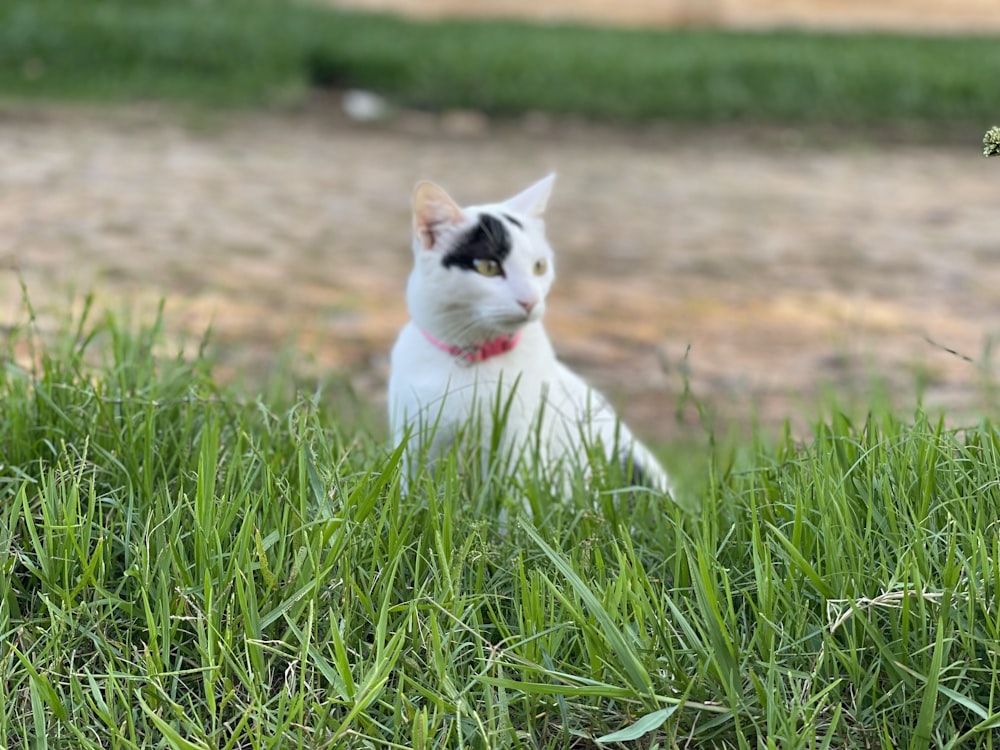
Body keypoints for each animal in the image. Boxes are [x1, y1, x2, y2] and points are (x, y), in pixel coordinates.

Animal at [386, 173, 668, 496]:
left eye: (539, 266)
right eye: (488, 267)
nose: (531, 300)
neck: (475, 355)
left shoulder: (520, 440)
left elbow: (516, 492)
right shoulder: (414, 434)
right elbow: (410, 488)